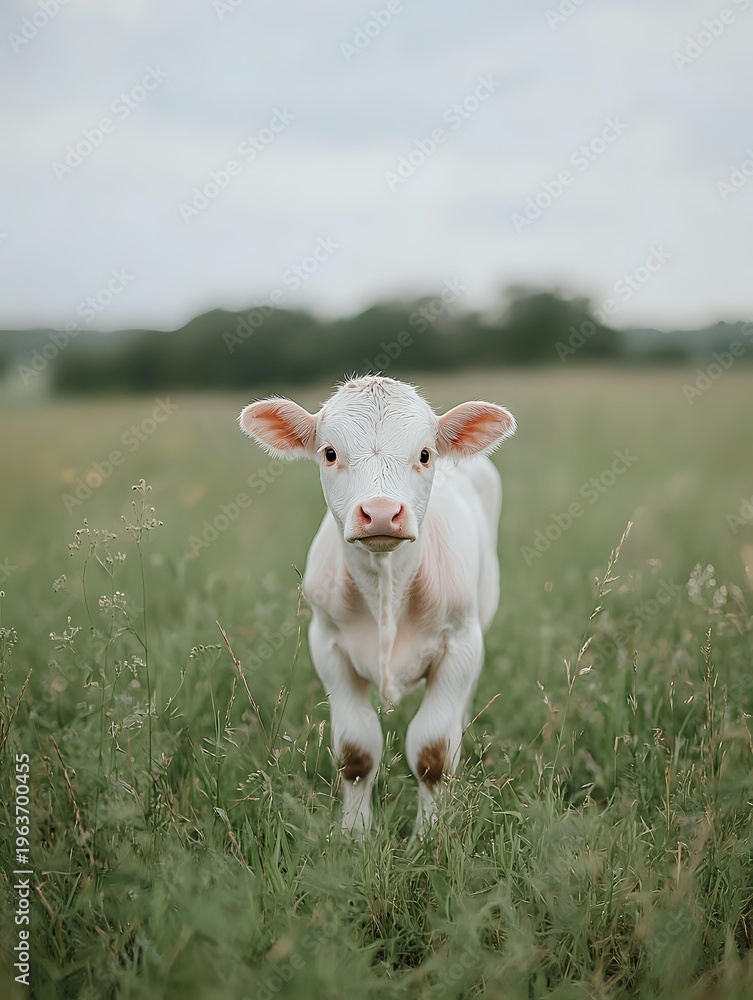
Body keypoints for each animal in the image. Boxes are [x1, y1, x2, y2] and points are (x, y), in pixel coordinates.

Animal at [239, 375, 516, 834]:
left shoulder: (461, 643)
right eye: (330, 453)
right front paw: (355, 835)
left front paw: (429, 835)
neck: (387, 590)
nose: (382, 513)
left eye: (425, 454)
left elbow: (434, 752)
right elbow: (356, 751)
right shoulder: (328, 645)